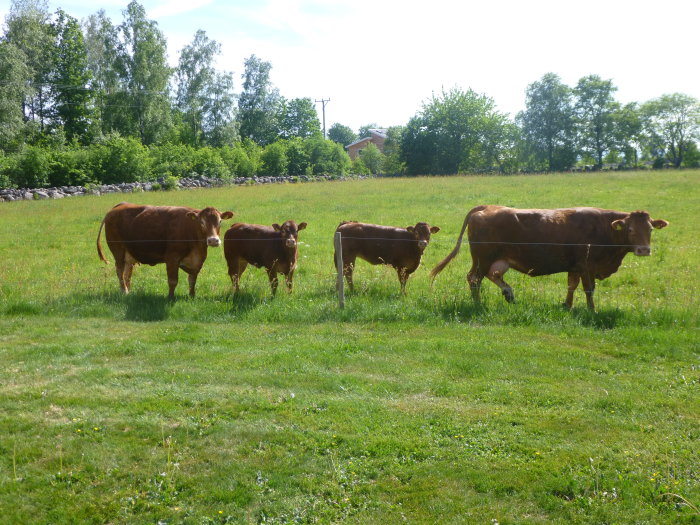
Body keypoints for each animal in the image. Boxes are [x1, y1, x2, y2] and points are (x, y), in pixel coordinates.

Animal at [95, 202, 235, 298]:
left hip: (128, 255)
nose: (213, 240)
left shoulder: (197, 261)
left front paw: (192, 296)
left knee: (127, 273)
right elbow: (173, 281)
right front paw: (171, 297)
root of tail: (119, 206)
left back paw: (129, 291)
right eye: (201, 222)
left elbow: (192, 280)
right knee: (119, 271)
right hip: (118, 250)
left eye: (220, 221)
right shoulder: (172, 258)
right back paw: (124, 291)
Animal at [432, 205, 668, 310]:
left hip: (497, 260)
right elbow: (589, 289)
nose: (644, 250)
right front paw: (591, 310)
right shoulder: (587, 266)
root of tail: (488, 207)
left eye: (650, 229)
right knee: (474, 279)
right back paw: (479, 304)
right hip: (482, 259)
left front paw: (567, 305)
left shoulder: (575, 267)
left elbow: (571, 286)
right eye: (630, 229)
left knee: (493, 276)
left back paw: (509, 293)